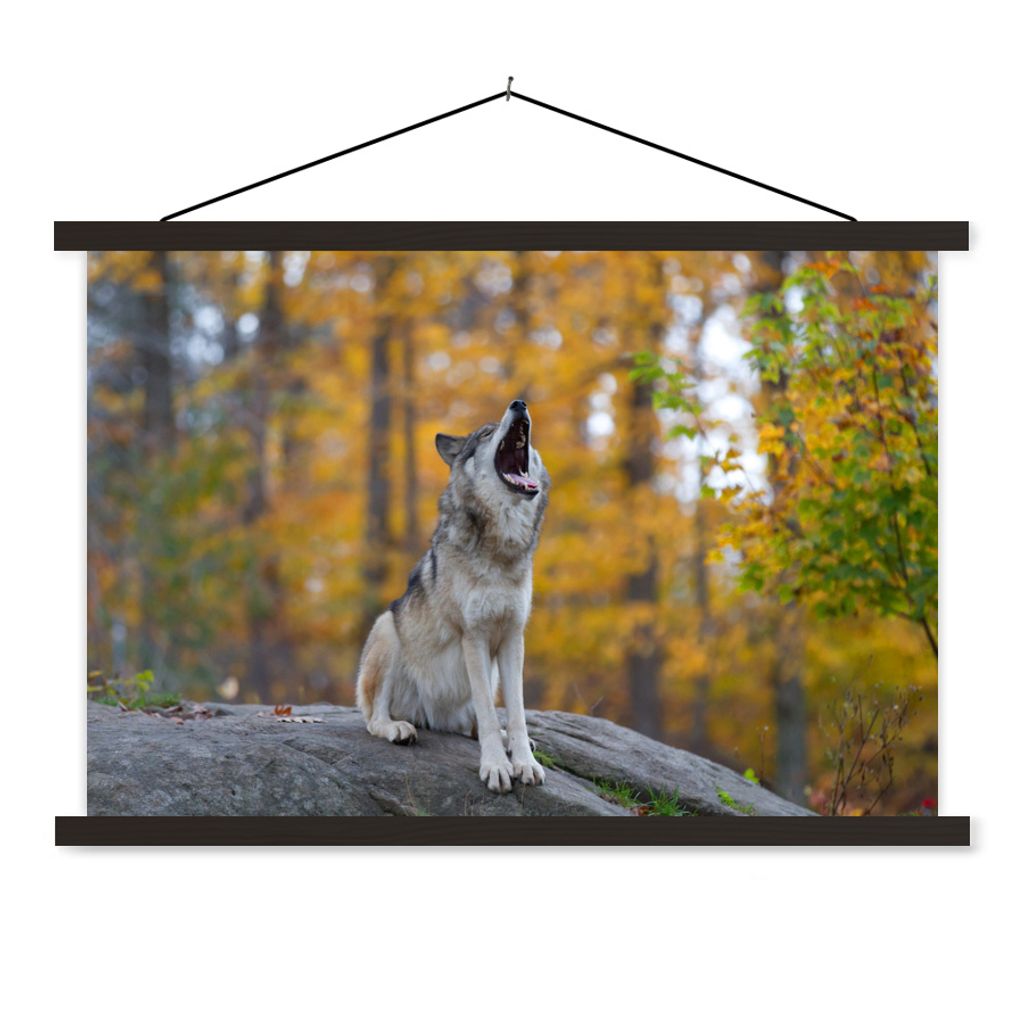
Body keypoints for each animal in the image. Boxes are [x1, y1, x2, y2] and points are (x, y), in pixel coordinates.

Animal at [355, 399, 551, 793]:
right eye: (486, 434)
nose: (519, 403)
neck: (501, 548)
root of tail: (434, 717)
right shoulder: (472, 636)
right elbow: (490, 716)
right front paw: (496, 767)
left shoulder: (512, 637)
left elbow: (516, 713)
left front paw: (524, 762)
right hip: (387, 628)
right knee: (374, 719)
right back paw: (399, 728)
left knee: (474, 725)